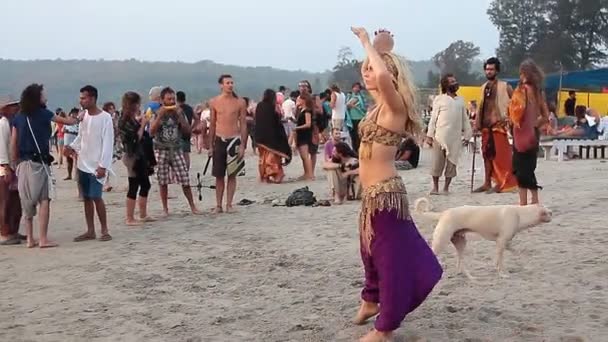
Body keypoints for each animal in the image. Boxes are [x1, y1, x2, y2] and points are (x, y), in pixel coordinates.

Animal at [414, 196, 552, 280]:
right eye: (549, 213)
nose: (553, 216)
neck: (520, 214)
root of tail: (443, 213)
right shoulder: (501, 243)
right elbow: (499, 262)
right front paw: (502, 274)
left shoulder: (506, 243)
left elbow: (516, 253)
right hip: (441, 241)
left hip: (461, 243)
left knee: (461, 264)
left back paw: (470, 277)